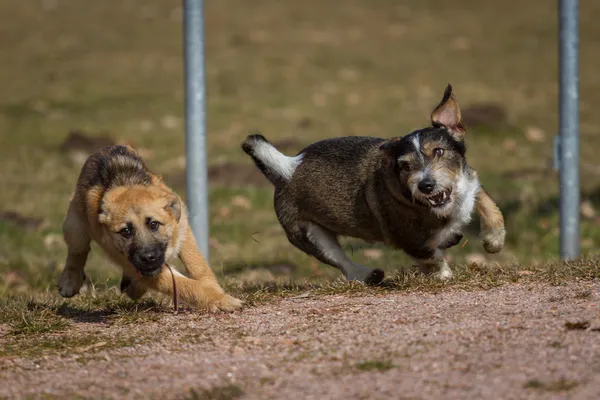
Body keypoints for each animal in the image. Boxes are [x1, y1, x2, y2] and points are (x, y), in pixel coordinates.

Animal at [56, 145, 244, 312]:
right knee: (77, 253)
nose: (148, 258)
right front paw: (220, 300)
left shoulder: (183, 231)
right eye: (125, 231)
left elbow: (198, 264)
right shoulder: (136, 265)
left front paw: (216, 292)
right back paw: (69, 281)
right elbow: (185, 284)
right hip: (75, 226)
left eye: (154, 224)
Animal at [241, 85, 504, 284]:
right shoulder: (409, 240)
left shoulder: (471, 183)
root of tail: (286, 170)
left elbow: (489, 206)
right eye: (404, 166)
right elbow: (431, 255)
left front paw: (494, 241)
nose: (425, 186)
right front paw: (443, 275)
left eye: (439, 152)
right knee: (342, 262)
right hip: (311, 236)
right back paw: (367, 274)